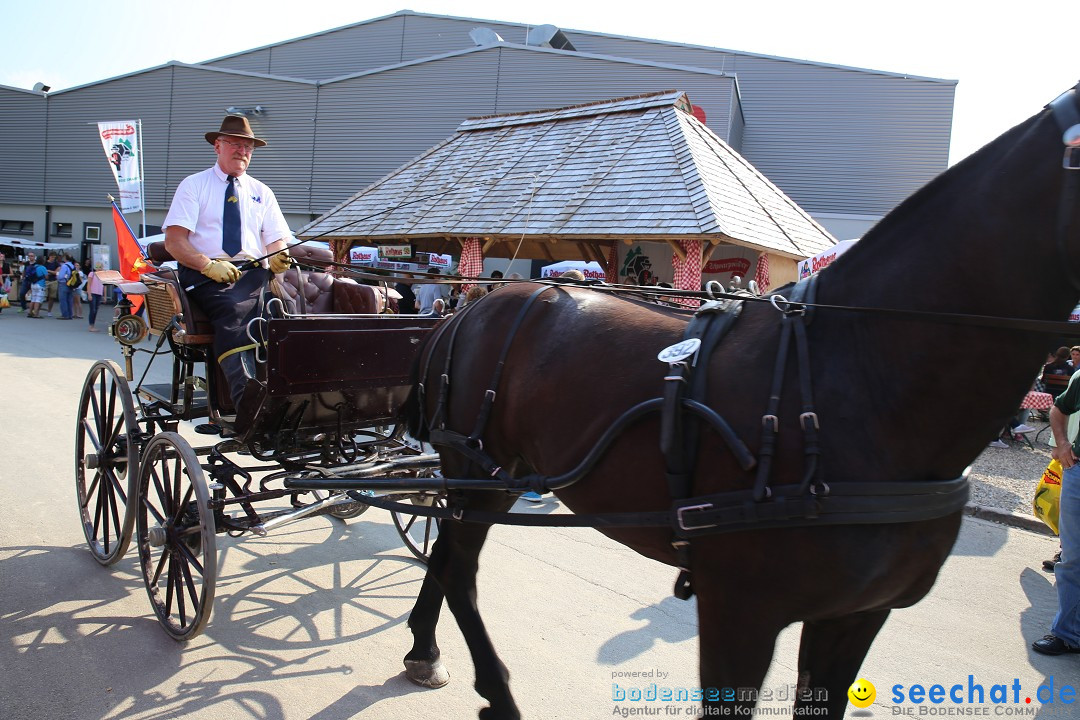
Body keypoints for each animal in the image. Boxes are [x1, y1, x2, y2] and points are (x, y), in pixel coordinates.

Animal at [397, 83, 1080, 716]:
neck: (855, 376)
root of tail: (468, 309)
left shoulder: (853, 615)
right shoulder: (741, 610)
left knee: (445, 553)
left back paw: (423, 647)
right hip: (476, 471)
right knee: (459, 568)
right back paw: (495, 688)